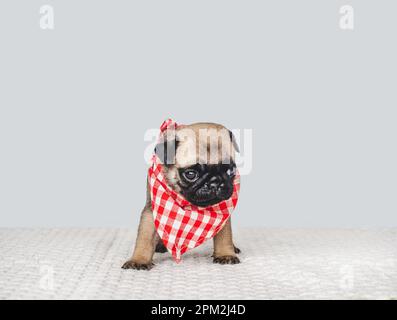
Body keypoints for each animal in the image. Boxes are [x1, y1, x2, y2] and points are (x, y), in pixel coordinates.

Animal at [122, 122, 240, 270]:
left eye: (231, 170)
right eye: (191, 174)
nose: (215, 182)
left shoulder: (222, 211)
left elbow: (224, 235)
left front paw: (226, 253)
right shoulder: (151, 210)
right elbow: (145, 236)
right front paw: (139, 260)